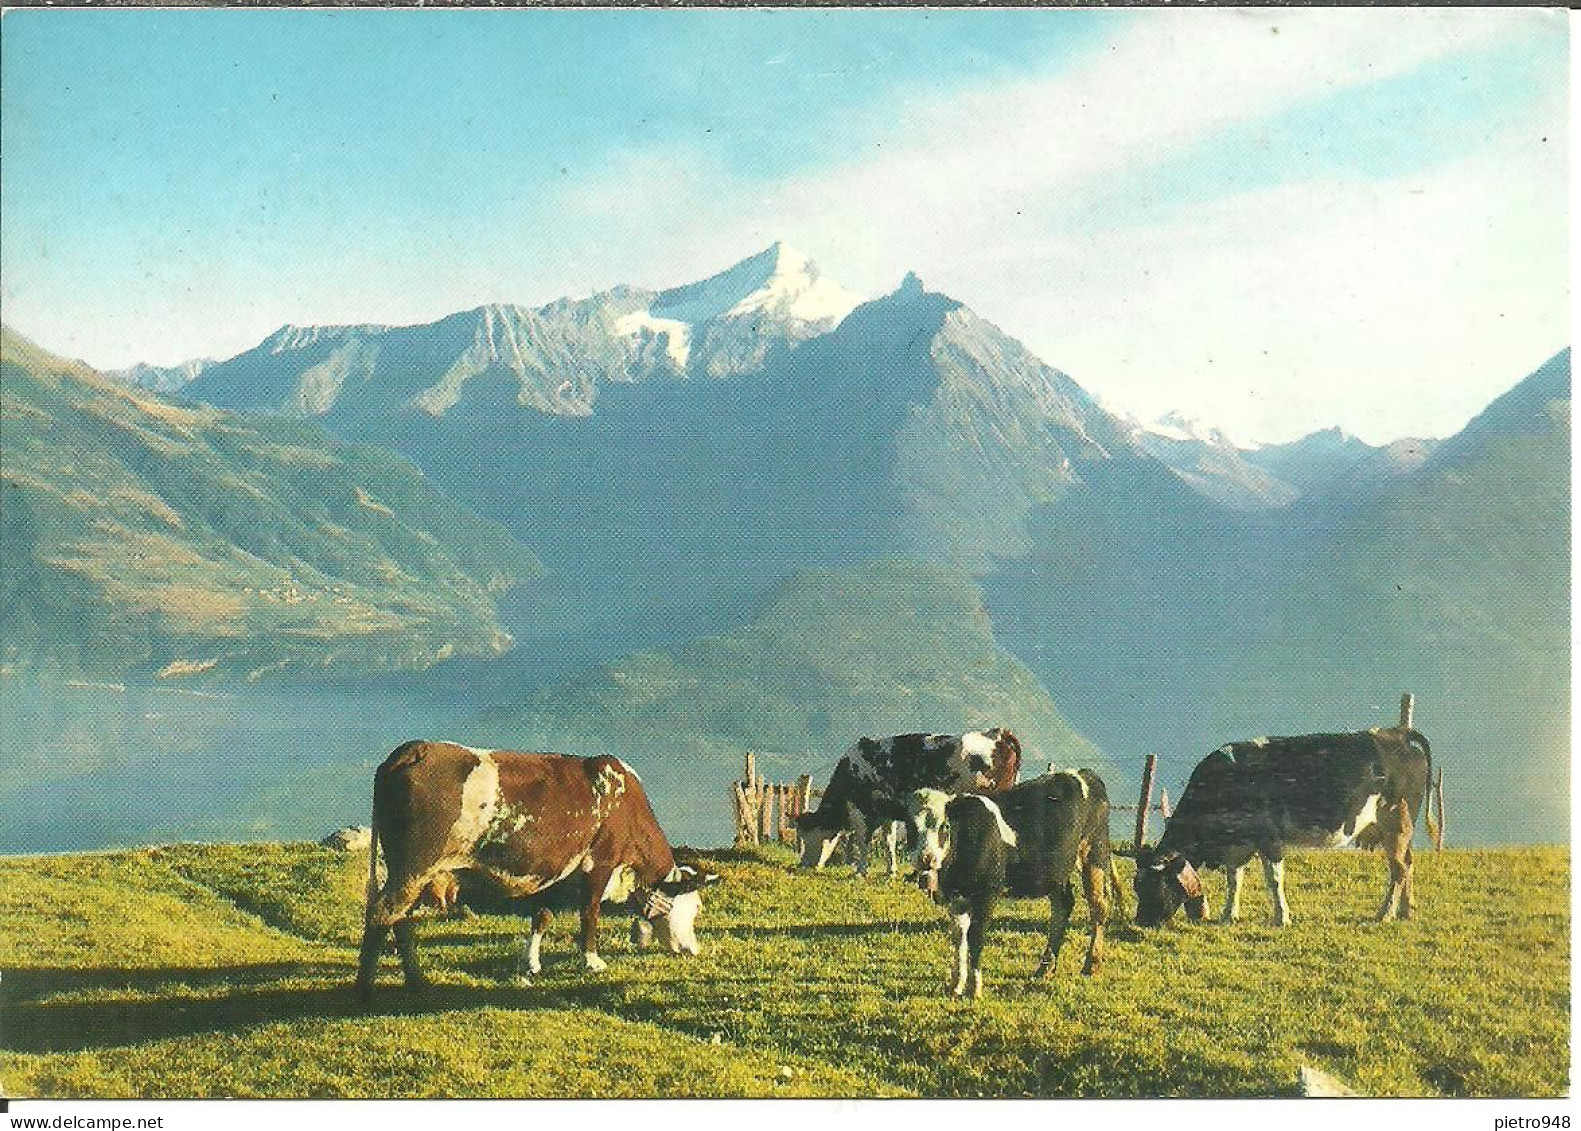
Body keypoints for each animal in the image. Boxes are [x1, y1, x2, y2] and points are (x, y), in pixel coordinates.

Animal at [355, 743, 720, 999]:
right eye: (691, 908)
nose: (693, 949)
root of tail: (413, 749)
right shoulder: (599, 862)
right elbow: (590, 912)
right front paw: (592, 961)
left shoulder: (556, 869)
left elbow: (542, 914)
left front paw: (531, 963)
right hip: (414, 866)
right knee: (382, 913)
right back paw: (365, 990)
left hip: (415, 872)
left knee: (400, 919)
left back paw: (416, 981)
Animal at [790, 730, 1024, 879]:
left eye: (809, 836)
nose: (804, 865)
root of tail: (997, 733)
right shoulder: (887, 812)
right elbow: (889, 841)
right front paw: (891, 871)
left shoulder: (861, 811)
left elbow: (863, 842)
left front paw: (860, 872)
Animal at [910, 768, 1119, 999]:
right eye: (912, 827)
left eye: (944, 825)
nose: (926, 858)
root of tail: (1085, 773)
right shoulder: (956, 898)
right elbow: (959, 938)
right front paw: (956, 985)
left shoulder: (987, 893)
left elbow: (975, 936)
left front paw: (974, 989)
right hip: (1056, 871)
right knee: (1063, 906)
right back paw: (1045, 968)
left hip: (1094, 852)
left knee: (1098, 907)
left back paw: (1092, 964)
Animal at [1125, 724, 1435, 930]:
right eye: (1136, 885)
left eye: (1155, 886)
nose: (1141, 922)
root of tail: (1396, 733)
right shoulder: (1237, 845)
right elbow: (1234, 879)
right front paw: (1228, 915)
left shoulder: (1269, 839)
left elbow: (1273, 880)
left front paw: (1280, 917)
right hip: (1399, 830)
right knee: (1409, 864)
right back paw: (1406, 911)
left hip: (1396, 822)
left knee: (1399, 870)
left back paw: (1384, 914)